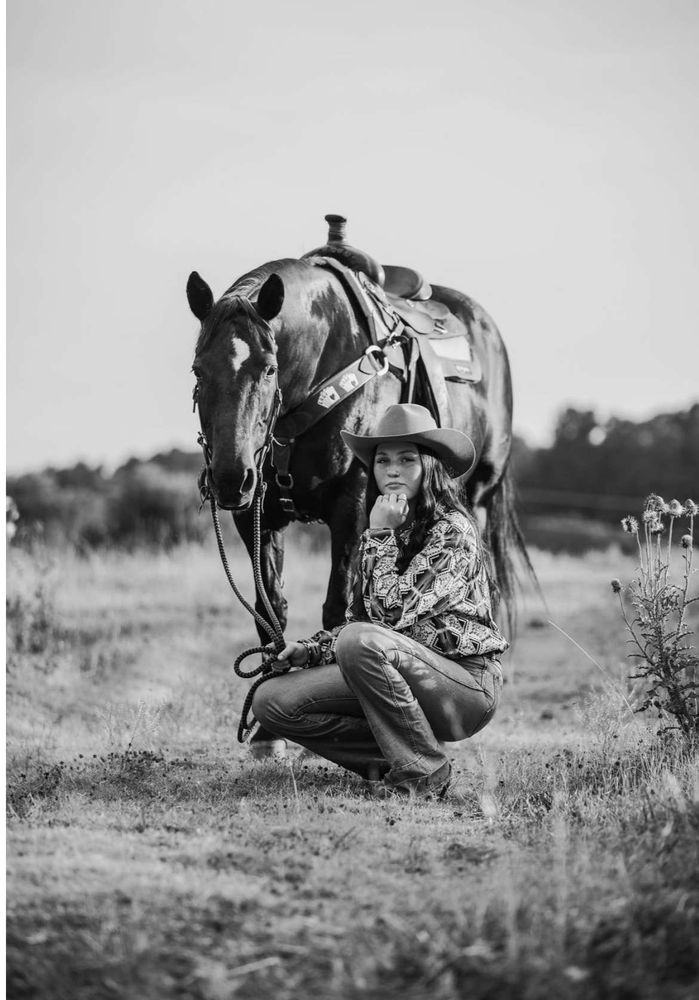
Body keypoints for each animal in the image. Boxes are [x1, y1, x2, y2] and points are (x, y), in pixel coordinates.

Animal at [187, 222, 528, 743]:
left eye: (269, 368)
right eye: (198, 370)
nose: (230, 477)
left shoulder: (351, 507)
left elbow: (338, 611)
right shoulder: (256, 515)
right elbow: (270, 614)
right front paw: (267, 734)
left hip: (481, 495)